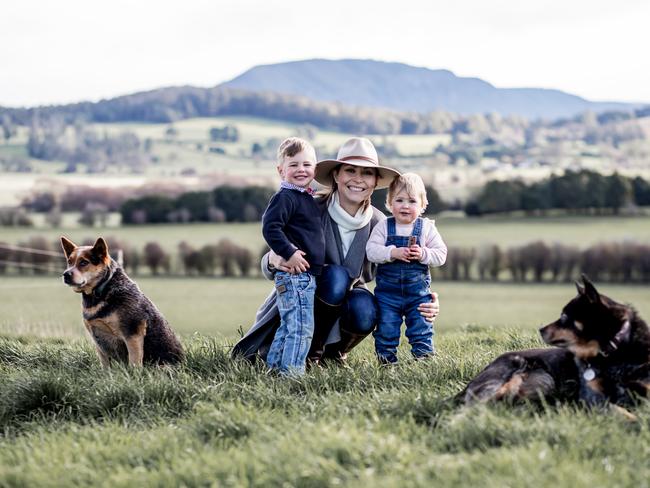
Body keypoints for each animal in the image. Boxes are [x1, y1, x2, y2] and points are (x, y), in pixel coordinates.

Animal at [61, 235, 184, 366]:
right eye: (69, 262)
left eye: (84, 262)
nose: (65, 275)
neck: (102, 289)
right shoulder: (98, 342)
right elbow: (105, 365)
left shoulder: (132, 335)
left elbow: (134, 362)